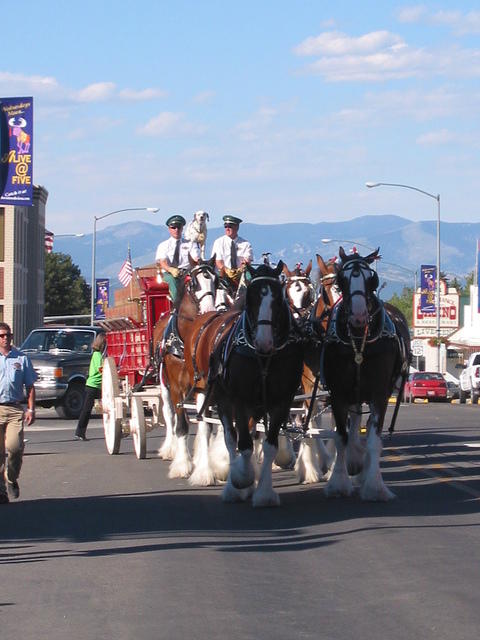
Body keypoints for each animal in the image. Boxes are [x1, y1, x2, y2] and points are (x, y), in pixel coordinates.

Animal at [211, 260, 304, 504]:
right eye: (251, 298)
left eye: (278, 299)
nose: (264, 341)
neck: (262, 356)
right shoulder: (240, 400)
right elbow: (243, 445)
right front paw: (242, 479)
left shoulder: (282, 402)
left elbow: (270, 446)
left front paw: (264, 493)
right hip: (223, 400)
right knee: (230, 438)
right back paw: (233, 485)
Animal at [322, 248, 408, 502]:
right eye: (342, 280)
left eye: (372, 280)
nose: (359, 316)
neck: (359, 341)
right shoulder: (338, 394)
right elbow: (341, 437)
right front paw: (338, 483)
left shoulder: (379, 395)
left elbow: (373, 440)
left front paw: (375, 486)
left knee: (369, 428)